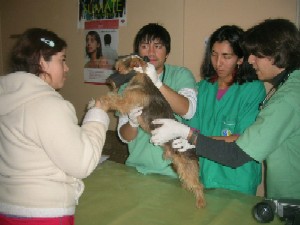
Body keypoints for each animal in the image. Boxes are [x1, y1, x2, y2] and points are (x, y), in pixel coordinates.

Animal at [97, 55, 205, 207]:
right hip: (179, 165)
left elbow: (112, 99)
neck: (140, 77)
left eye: (126, 61)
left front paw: (100, 102)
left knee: (199, 185)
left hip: (187, 165)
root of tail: (193, 147)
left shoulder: (125, 103)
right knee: (190, 181)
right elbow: (113, 98)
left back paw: (200, 202)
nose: (116, 61)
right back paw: (186, 187)